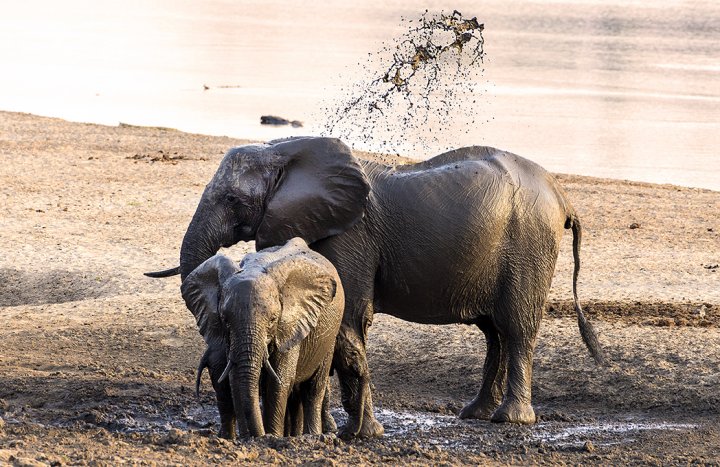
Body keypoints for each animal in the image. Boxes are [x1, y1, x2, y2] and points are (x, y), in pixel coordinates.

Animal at [183, 239, 346, 436]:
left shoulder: (290, 326)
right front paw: (250, 437)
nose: (255, 434)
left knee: (313, 390)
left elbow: (279, 381)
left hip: (329, 335)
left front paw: (271, 436)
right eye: (225, 320)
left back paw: (311, 435)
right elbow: (235, 378)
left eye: (273, 320)